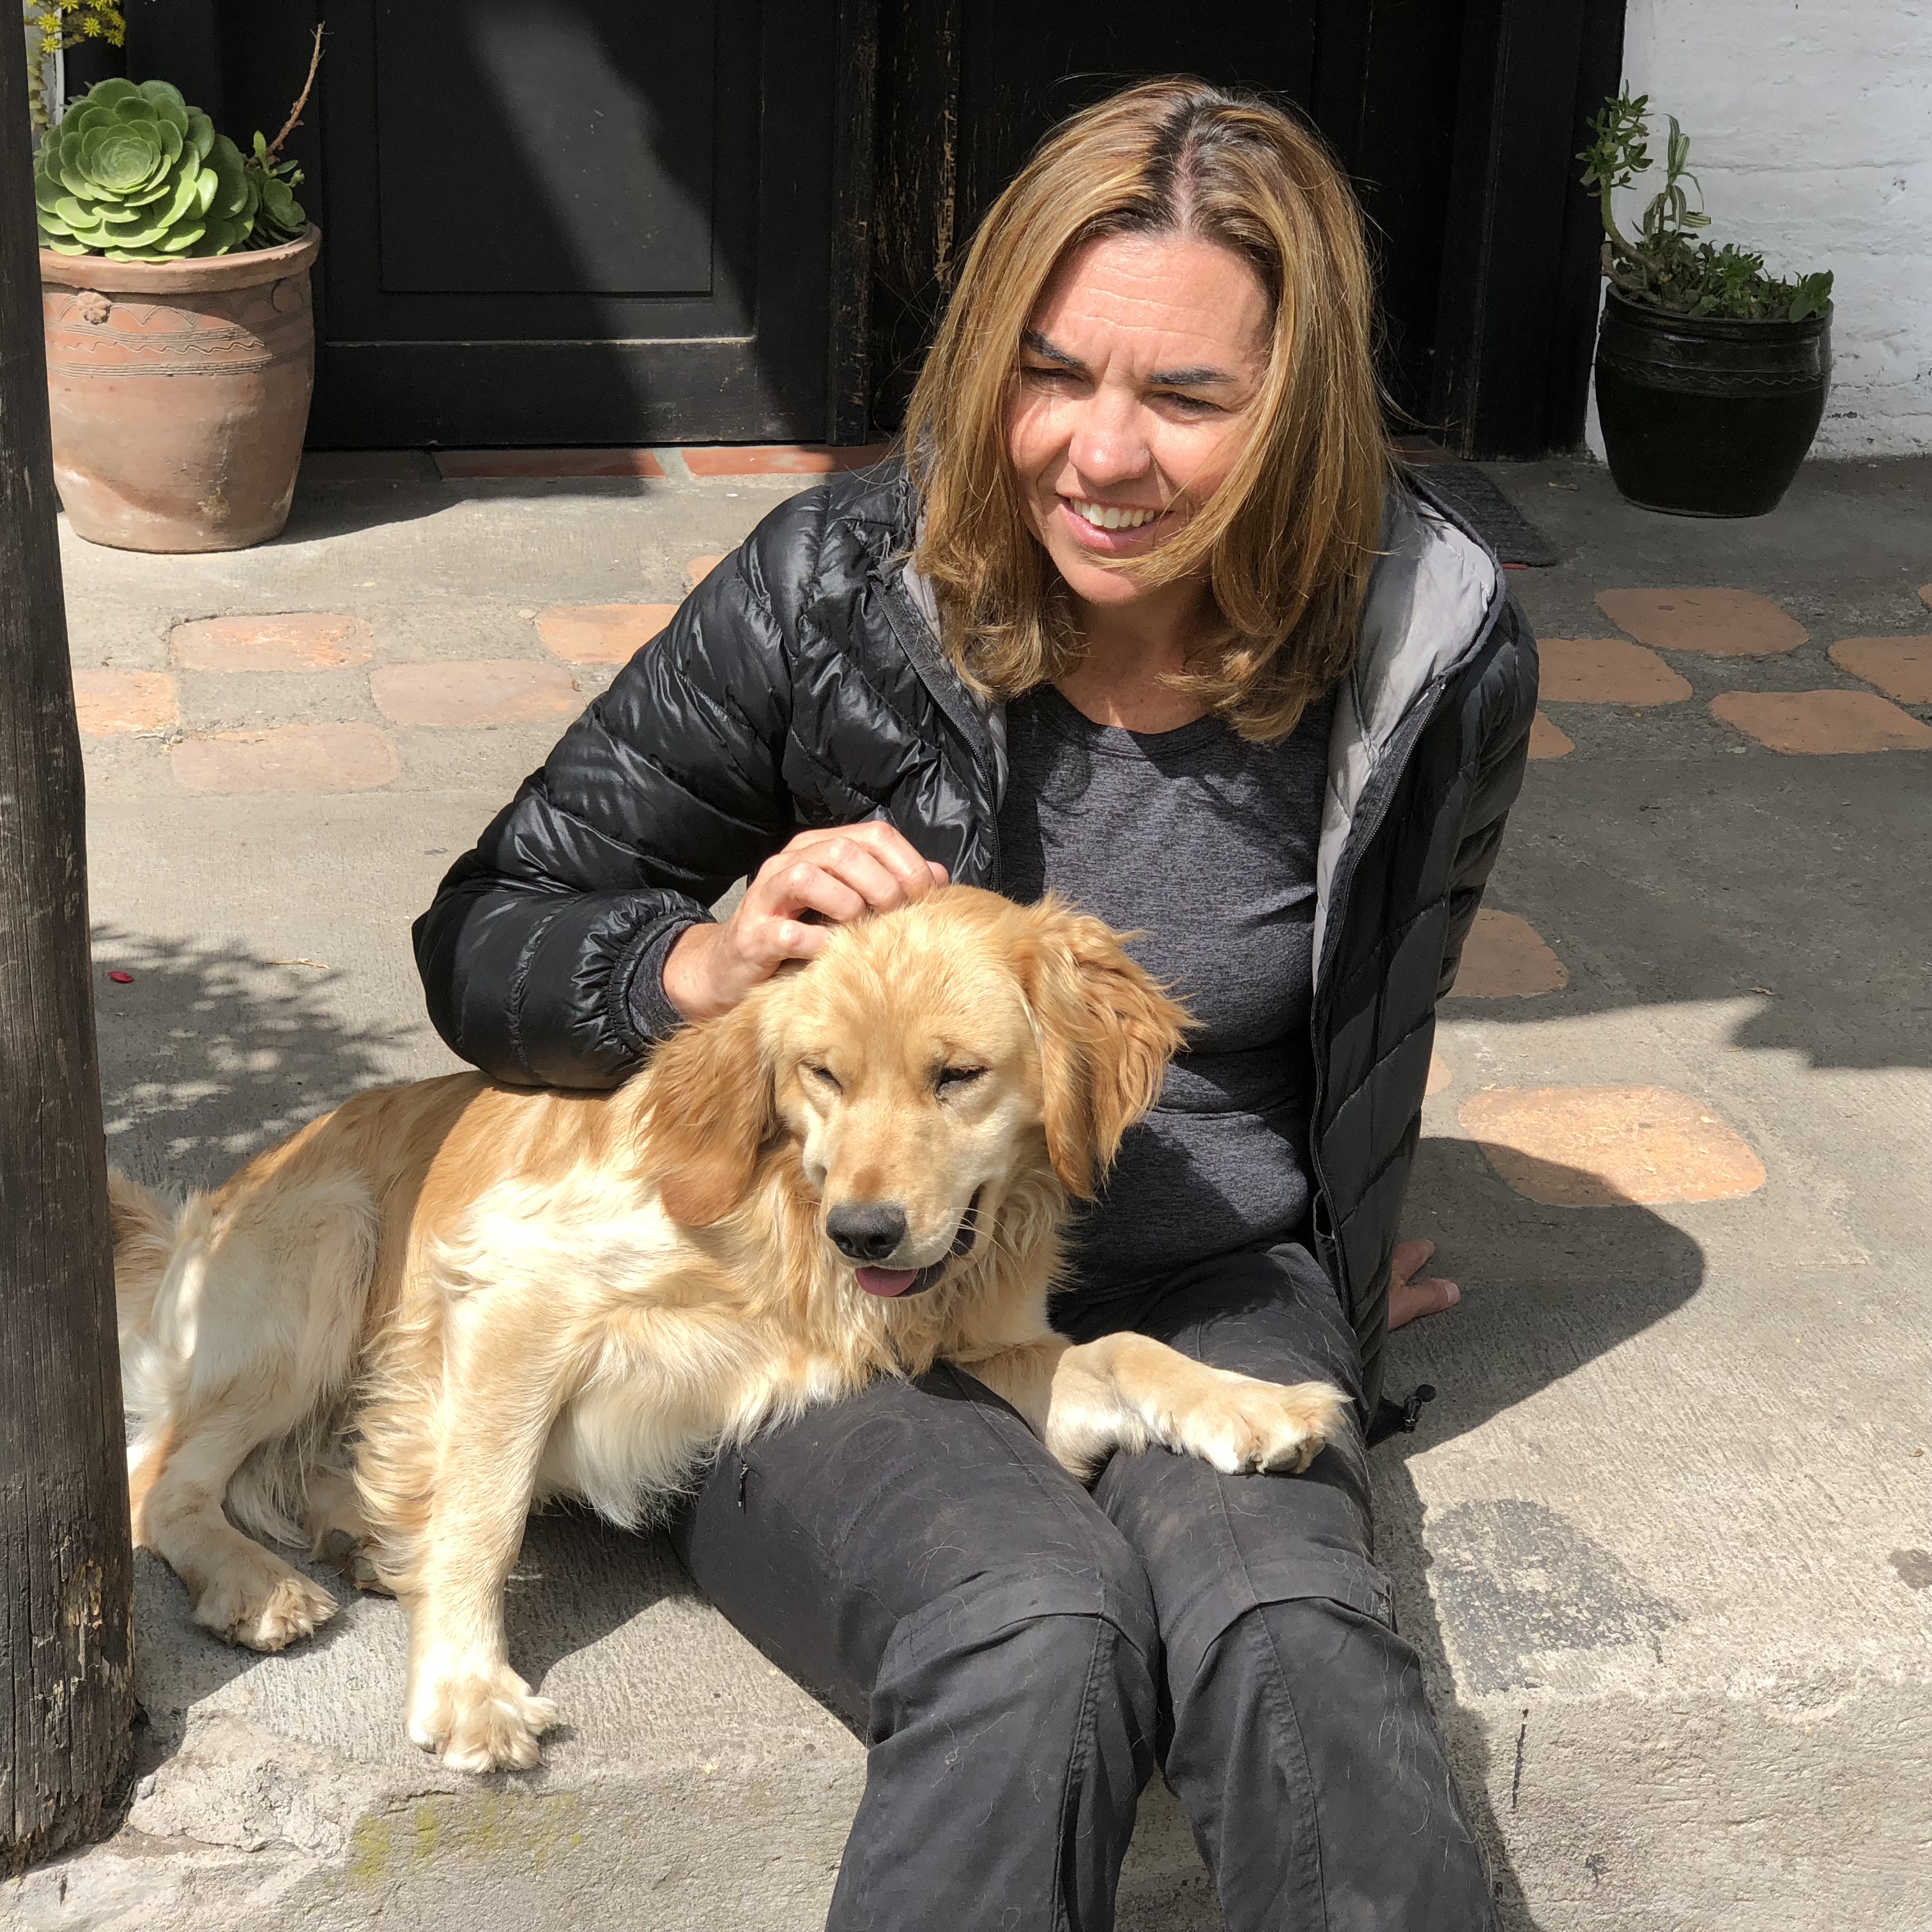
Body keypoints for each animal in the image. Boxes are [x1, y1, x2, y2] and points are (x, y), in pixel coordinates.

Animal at [110, 886, 1349, 1773]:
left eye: (957, 1076)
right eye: (822, 1073)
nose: (866, 1231)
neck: (788, 1216)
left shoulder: (979, 1349)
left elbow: (1125, 1351)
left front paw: (1255, 1403)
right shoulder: (516, 1287)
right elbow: (483, 1510)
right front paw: (465, 1689)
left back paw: (356, 1537)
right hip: (328, 1244)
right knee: (158, 1482)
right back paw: (256, 1582)